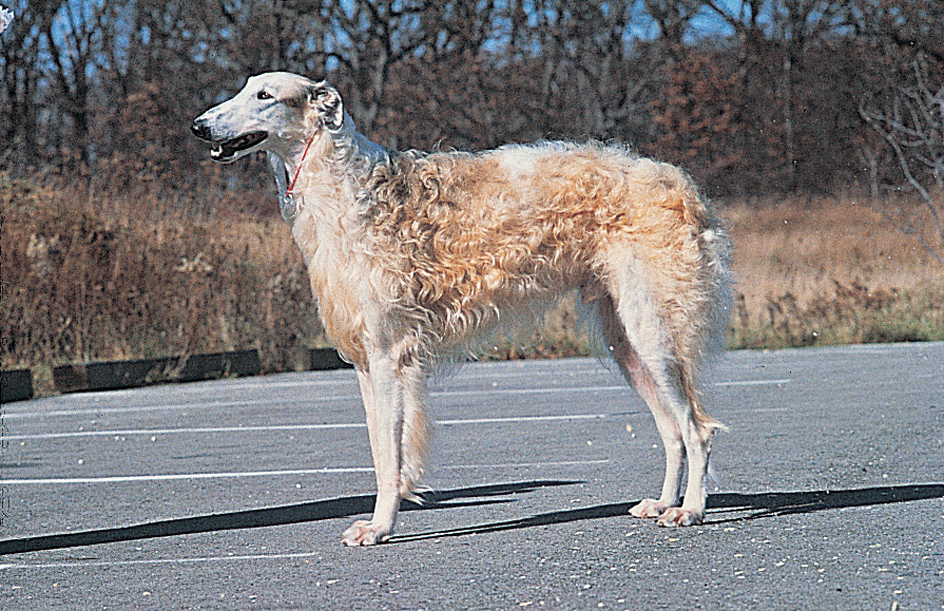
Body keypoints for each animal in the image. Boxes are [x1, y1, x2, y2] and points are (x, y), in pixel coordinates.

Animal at [192, 73, 732, 548]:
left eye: (265, 95)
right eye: (243, 88)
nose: (198, 125)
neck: (348, 192)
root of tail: (678, 181)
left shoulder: (388, 356)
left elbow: (391, 455)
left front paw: (378, 527)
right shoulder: (365, 362)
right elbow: (381, 451)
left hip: (652, 330)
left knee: (698, 430)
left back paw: (690, 510)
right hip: (626, 341)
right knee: (672, 430)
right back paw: (662, 503)